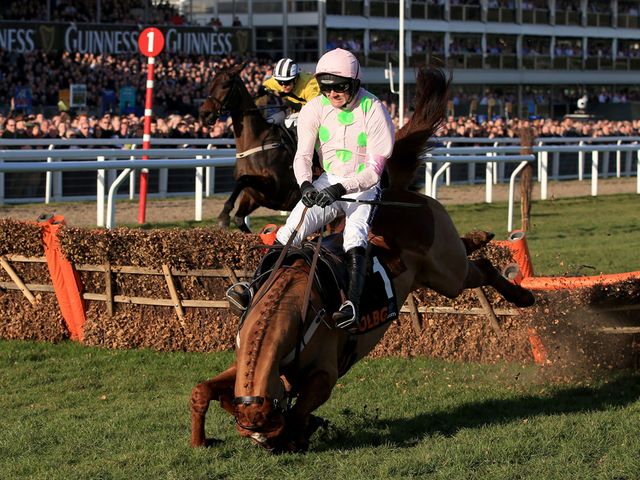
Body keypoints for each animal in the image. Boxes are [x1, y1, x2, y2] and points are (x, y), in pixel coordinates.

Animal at [200, 64, 300, 233]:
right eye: (210, 84)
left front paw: (223, 216)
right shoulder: (255, 196)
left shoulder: (278, 190)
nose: (205, 113)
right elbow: (239, 219)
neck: (255, 142)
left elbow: (243, 179)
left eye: (226, 84)